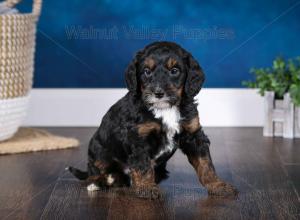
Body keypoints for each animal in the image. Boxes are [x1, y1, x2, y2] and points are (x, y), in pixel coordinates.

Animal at [67, 40, 237, 198]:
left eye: (174, 71)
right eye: (146, 71)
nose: (158, 93)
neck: (165, 109)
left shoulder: (193, 134)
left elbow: (205, 163)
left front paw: (218, 185)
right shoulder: (139, 137)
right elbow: (143, 165)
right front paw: (147, 188)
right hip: (98, 149)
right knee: (95, 171)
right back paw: (99, 182)